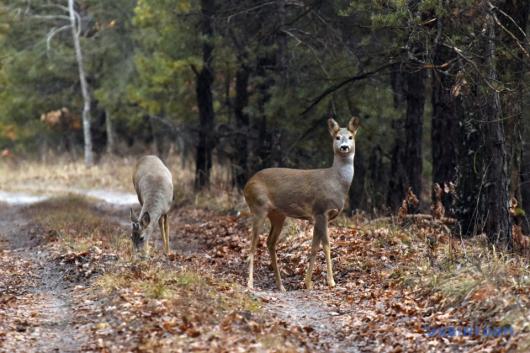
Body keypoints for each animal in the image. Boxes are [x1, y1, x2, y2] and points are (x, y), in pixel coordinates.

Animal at [243, 117, 358, 290]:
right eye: (337, 137)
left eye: (350, 137)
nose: (344, 147)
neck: (336, 182)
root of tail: (246, 185)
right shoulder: (321, 210)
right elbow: (327, 245)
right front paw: (331, 282)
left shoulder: (318, 216)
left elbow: (314, 247)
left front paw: (307, 282)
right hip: (258, 207)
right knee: (253, 244)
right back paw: (250, 284)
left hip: (278, 215)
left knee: (270, 242)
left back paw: (281, 286)